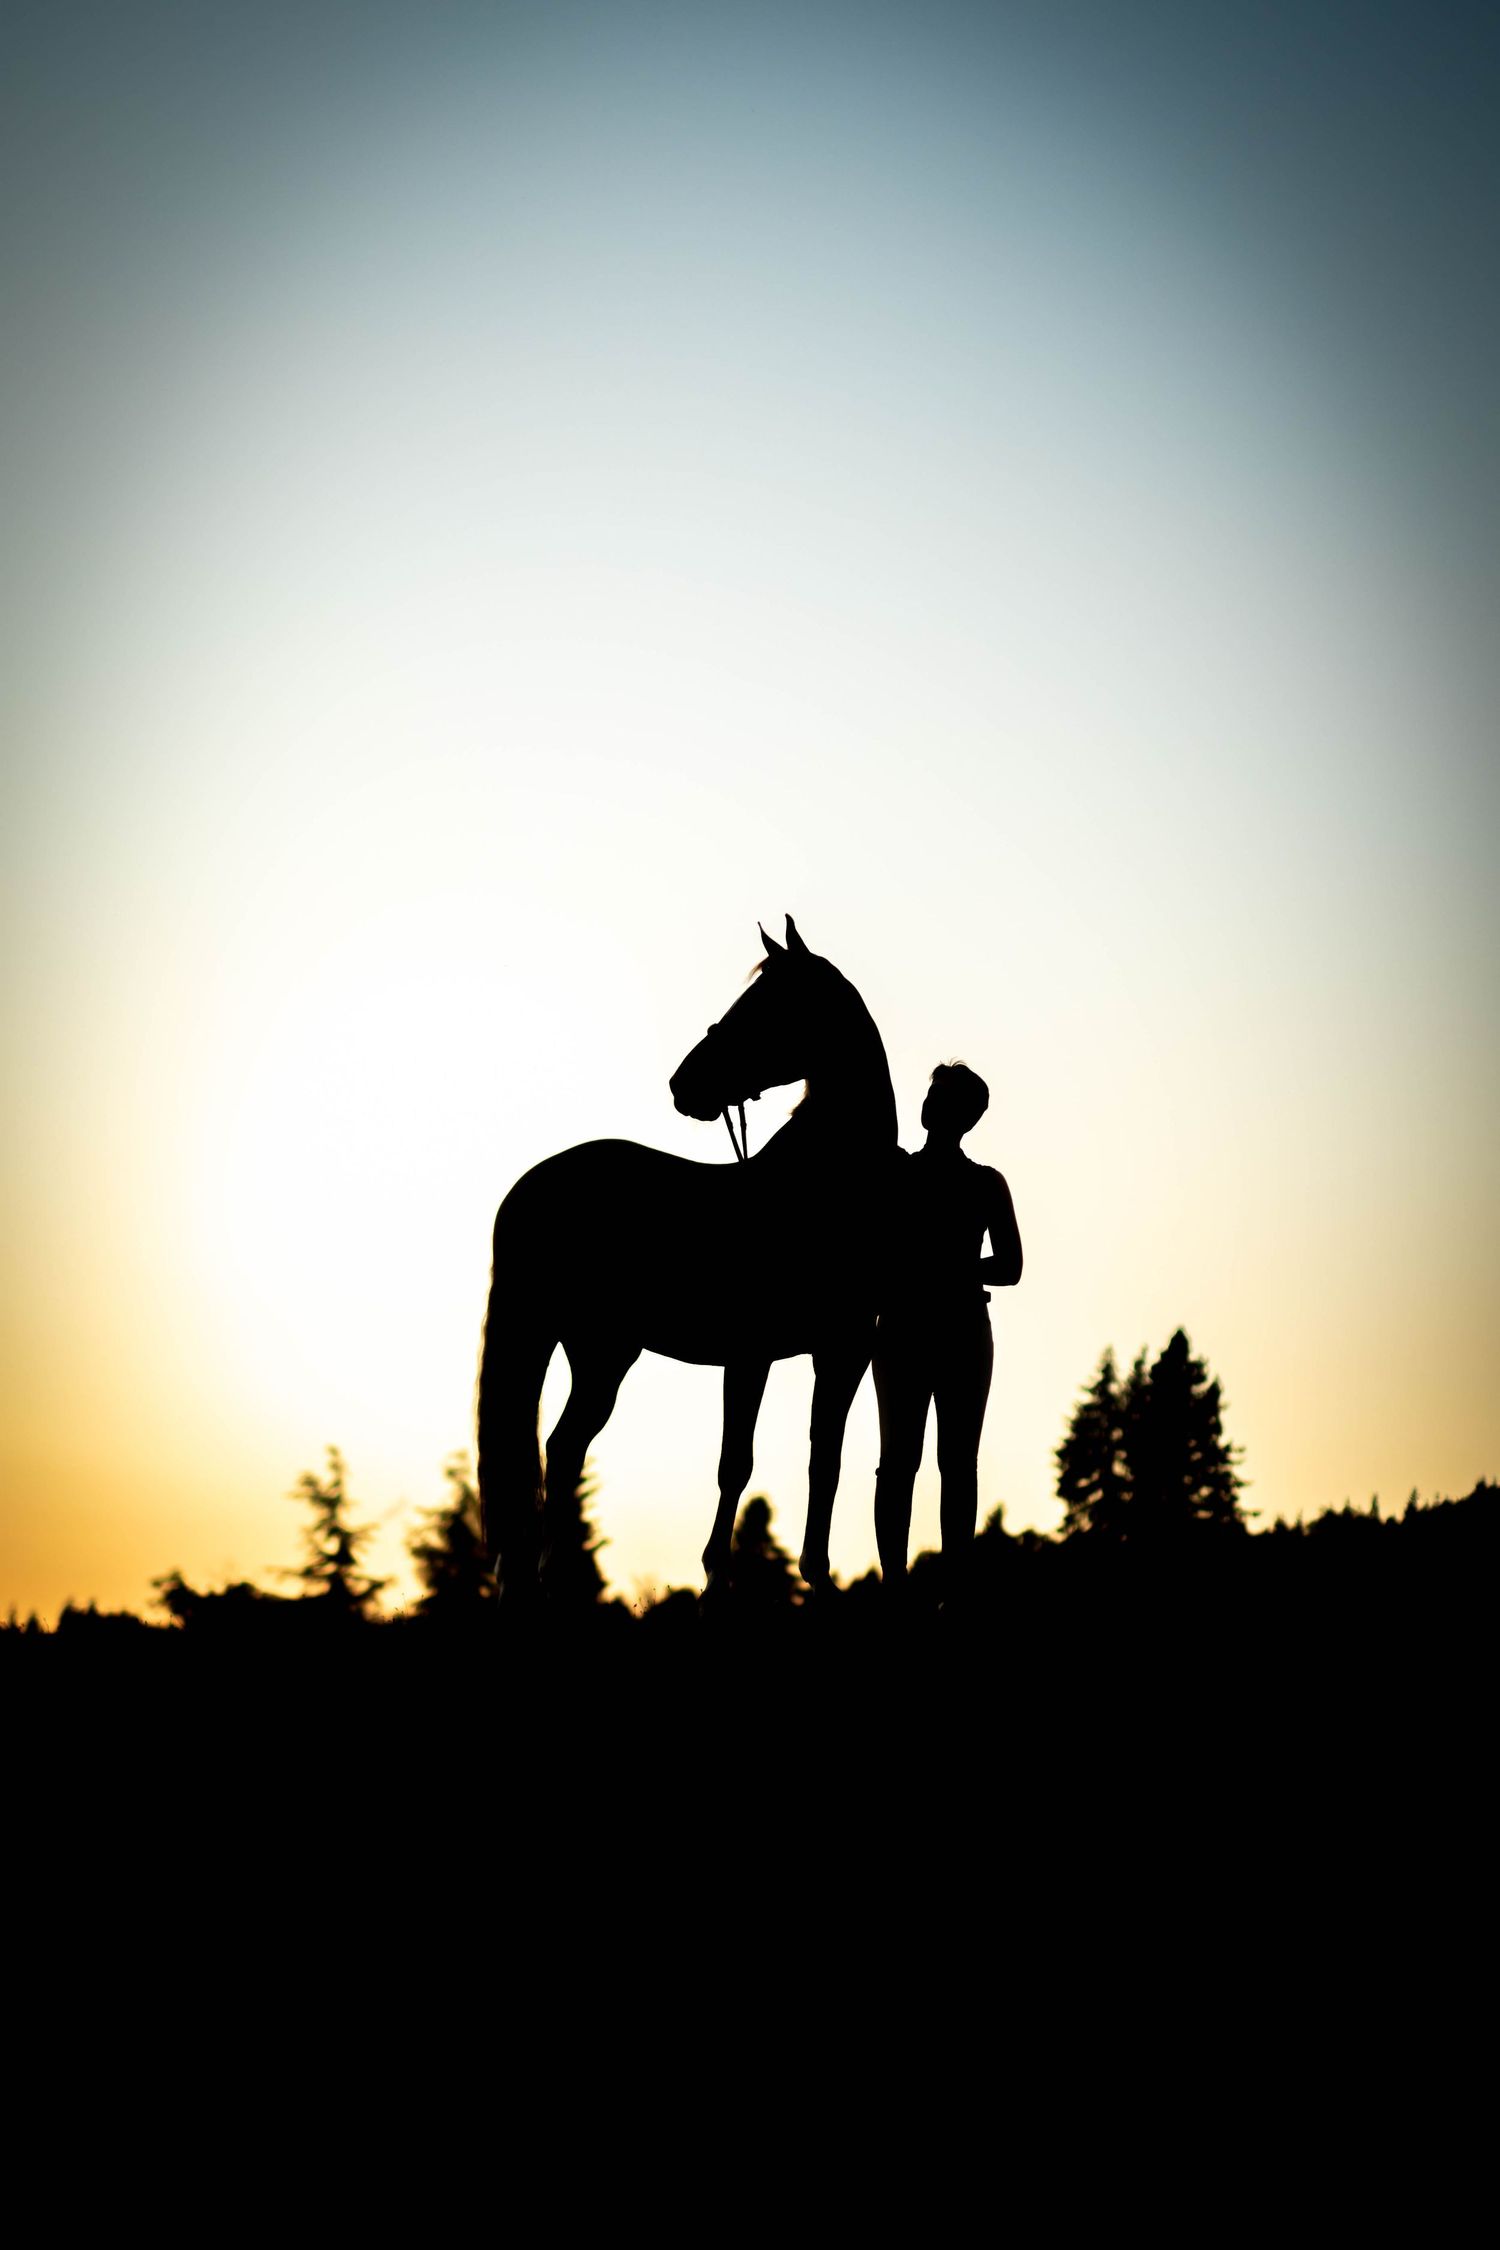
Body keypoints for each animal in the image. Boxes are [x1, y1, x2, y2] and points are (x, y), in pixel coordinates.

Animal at [476, 915, 898, 1600]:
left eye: (766, 1006)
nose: (683, 1085)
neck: (819, 1188)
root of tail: (531, 1186)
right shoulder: (751, 1353)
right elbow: (736, 1463)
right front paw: (715, 1583)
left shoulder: (843, 1351)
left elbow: (824, 1457)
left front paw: (816, 1576)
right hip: (579, 1345)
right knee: (556, 1449)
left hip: (597, 1352)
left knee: (562, 1449)